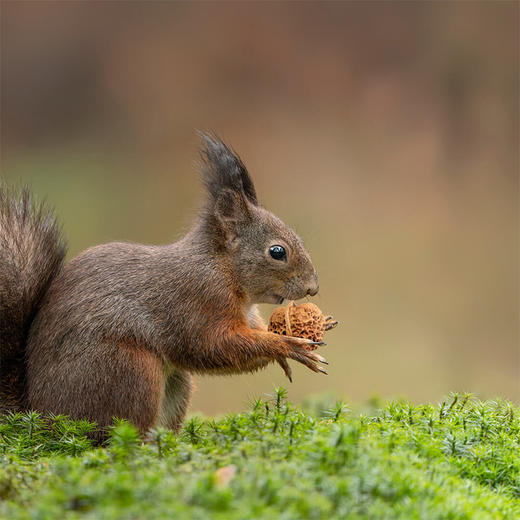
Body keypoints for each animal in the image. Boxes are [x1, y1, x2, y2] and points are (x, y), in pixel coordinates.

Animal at [0, 133, 324, 438]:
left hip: (176, 383)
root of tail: (40, 414)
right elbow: (212, 345)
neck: (224, 270)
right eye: (277, 252)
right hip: (128, 370)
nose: (313, 287)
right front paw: (286, 345)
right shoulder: (196, 299)